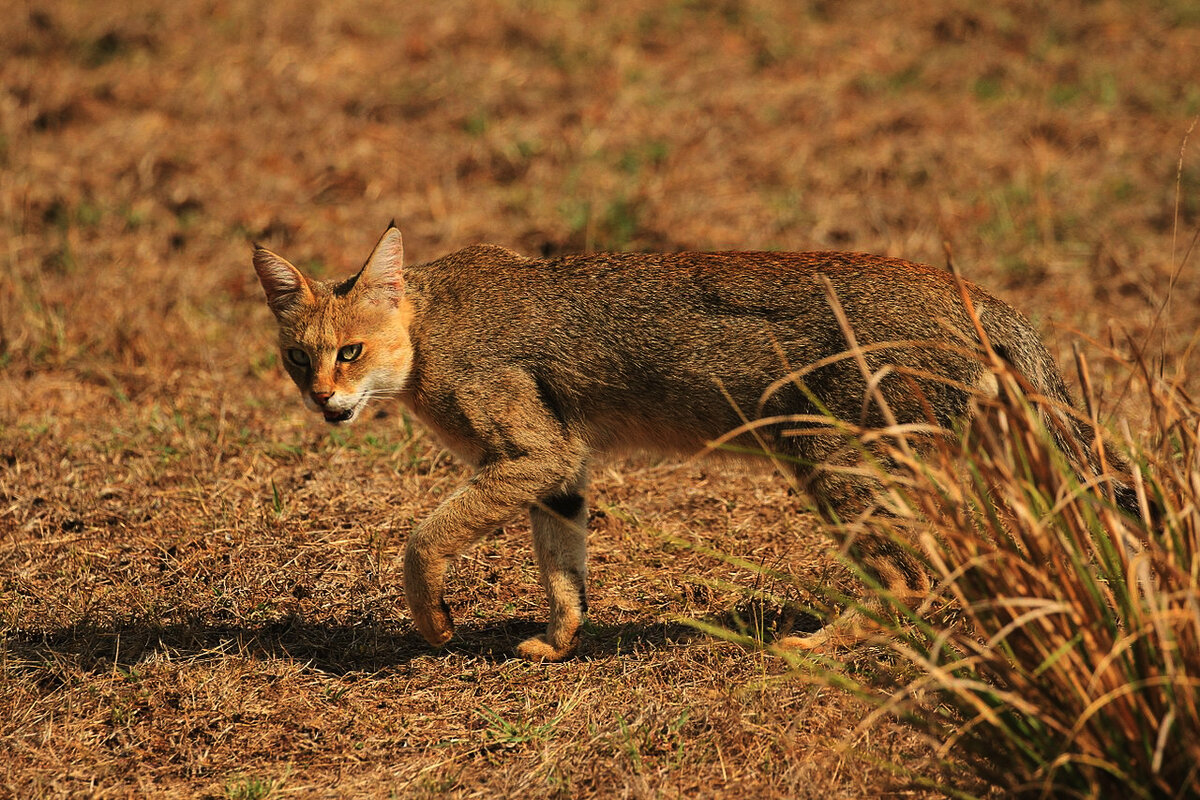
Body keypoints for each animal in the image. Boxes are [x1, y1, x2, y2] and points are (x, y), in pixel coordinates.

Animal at [253, 221, 1132, 662]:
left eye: (349, 354)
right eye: (298, 358)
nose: (324, 401)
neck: (432, 331)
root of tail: (969, 291)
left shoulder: (530, 456)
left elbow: (420, 540)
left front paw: (434, 626)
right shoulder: (561, 469)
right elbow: (565, 575)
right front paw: (560, 644)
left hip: (828, 464)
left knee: (915, 578)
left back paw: (818, 645)